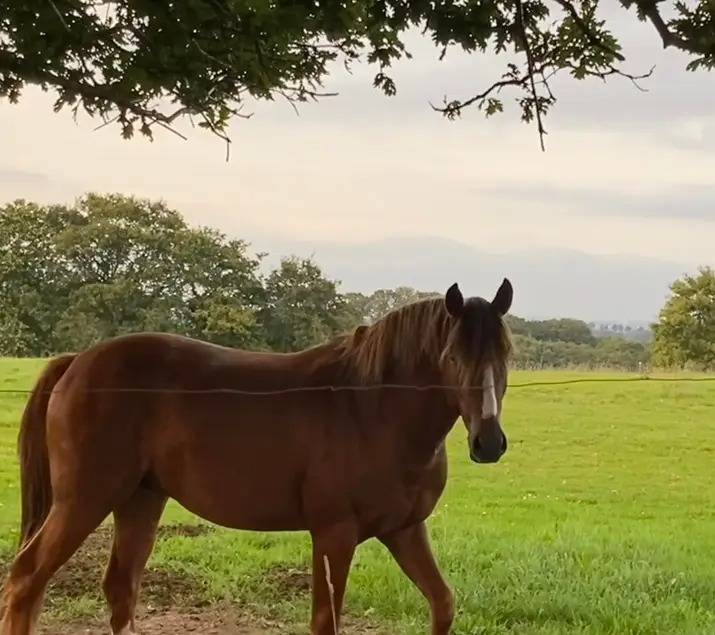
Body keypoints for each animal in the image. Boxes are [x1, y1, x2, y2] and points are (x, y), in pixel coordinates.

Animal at [0, 278, 514, 635]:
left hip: (140, 500)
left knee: (119, 588)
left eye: (506, 354)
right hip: (83, 501)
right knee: (26, 578)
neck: (372, 409)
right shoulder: (334, 535)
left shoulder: (404, 531)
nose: (488, 443)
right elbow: (326, 622)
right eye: (452, 357)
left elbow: (442, 603)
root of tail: (77, 361)